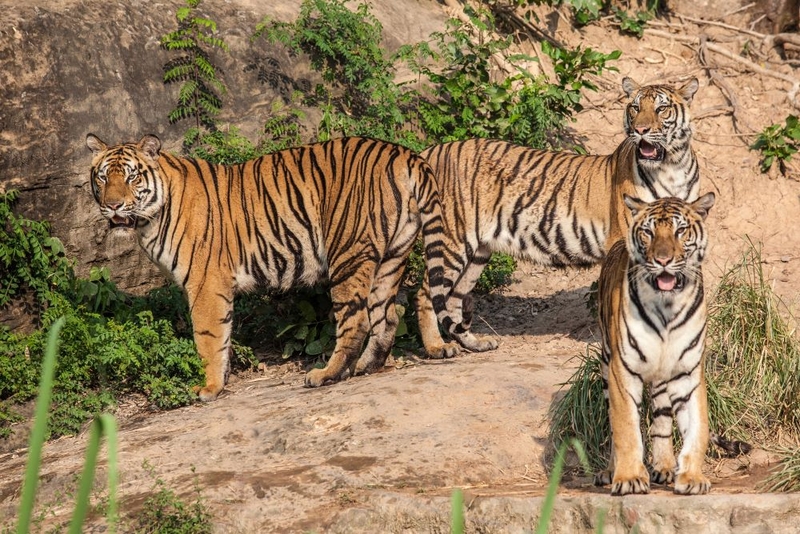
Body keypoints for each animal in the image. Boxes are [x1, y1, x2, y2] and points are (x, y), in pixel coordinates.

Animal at [87, 134, 450, 402]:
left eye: (132, 176)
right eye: (103, 177)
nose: (112, 205)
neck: (150, 219)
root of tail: (402, 153)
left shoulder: (205, 283)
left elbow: (208, 337)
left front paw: (208, 387)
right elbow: (223, 338)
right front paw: (221, 381)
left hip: (348, 253)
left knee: (356, 320)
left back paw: (327, 374)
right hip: (393, 255)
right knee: (388, 315)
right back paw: (367, 366)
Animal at [412, 76, 700, 360]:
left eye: (661, 109)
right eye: (635, 108)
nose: (640, 130)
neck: (671, 167)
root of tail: (429, 153)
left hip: (477, 254)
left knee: (453, 298)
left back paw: (473, 343)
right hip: (453, 240)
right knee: (426, 293)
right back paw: (438, 347)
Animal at [592, 194, 720, 498]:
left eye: (680, 231)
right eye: (648, 233)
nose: (663, 260)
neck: (667, 307)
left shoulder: (688, 372)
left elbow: (698, 428)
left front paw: (692, 478)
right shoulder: (623, 371)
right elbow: (625, 428)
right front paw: (629, 479)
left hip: (663, 380)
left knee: (661, 422)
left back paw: (664, 466)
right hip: (605, 367)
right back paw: (610, 471)